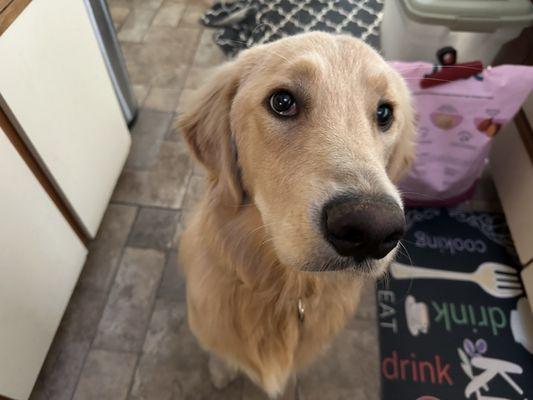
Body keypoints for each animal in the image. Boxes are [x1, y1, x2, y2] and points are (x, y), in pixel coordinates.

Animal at [179, 31, 416, 396]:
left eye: (384, 113)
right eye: (282, 102)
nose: (372, 229)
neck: (282, 289)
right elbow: (220, 353)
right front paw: (220, 372)